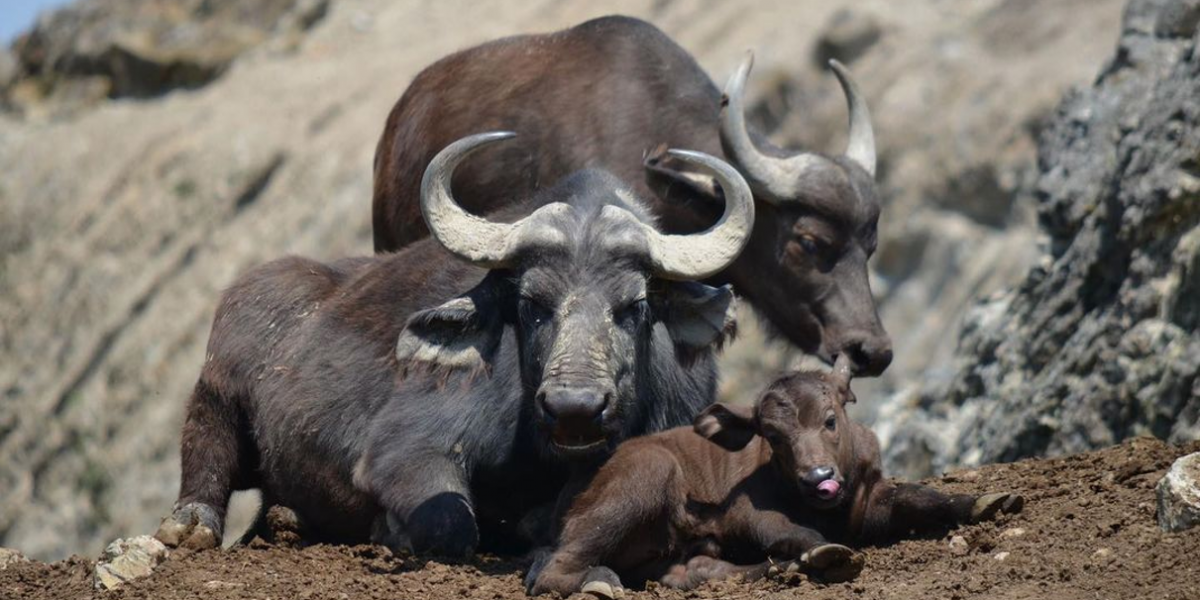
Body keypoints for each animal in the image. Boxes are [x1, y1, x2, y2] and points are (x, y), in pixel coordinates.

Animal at [150, 131, 748, 556]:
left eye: (634, 305)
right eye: (531, 303)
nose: (574, 408)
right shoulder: (403, 449)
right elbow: (450, 524)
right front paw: (392, 530)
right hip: (216, 392)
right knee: (207, 450)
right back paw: (191, 524)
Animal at [528, 355, 1022, 595]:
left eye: (830, 419)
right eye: (772, 435)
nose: (819, 476)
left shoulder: (871, 499)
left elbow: (917, 496)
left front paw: (986, 503)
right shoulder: (749, 513)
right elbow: (787, 529)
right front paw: (827, 553)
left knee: (698, 570)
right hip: (643, 479)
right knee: (556, 570)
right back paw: (596, 582)